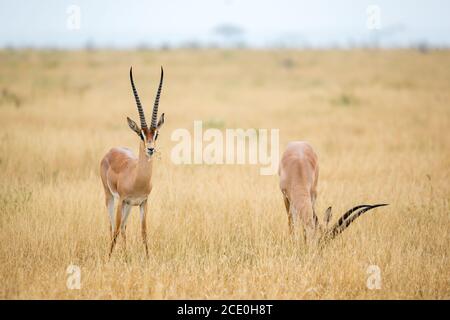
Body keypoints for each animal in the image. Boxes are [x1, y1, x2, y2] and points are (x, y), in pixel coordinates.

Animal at [100, 67, 165, 258]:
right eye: (141, 134)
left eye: (156, 134)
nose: (150, 149)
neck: (137, 178)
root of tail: (111, 150)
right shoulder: (122, 200)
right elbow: (115, 229)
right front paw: (108, 259)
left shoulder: (143, 202)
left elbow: (144, 231)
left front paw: (148, 258)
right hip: (110, 197)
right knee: (112, 226)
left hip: (129, 206)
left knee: (124, 227)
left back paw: (127, 256)